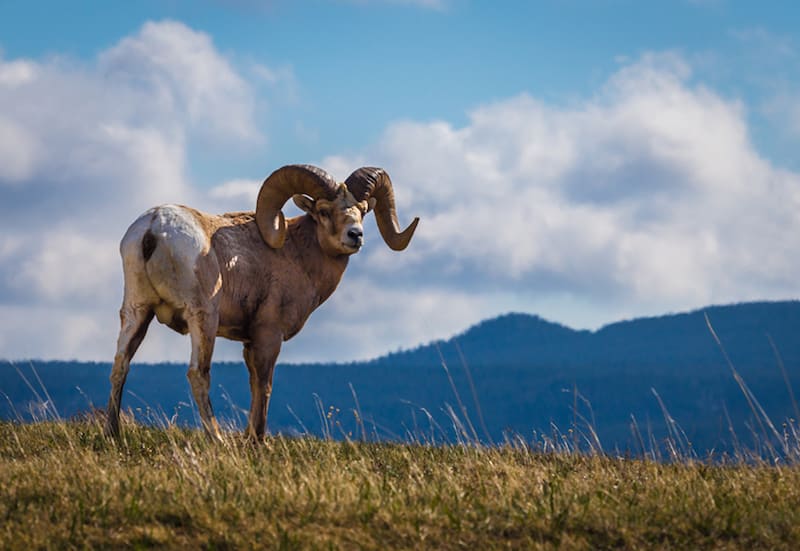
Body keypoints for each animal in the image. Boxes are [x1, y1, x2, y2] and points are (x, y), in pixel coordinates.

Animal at [104, 164, 419, 440]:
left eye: (363, 211)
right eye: (323, 211)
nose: (356, 235)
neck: (297, 255)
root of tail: (155, 228)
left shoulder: (249, 341)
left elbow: (254, 384)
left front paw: (249, 438)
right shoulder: (269, 335)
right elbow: (264, 385)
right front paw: (257, 440)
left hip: (137, 311)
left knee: (121, 365)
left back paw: (113, 434)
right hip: (203, 317)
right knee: (198, 373)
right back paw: (218, 440)